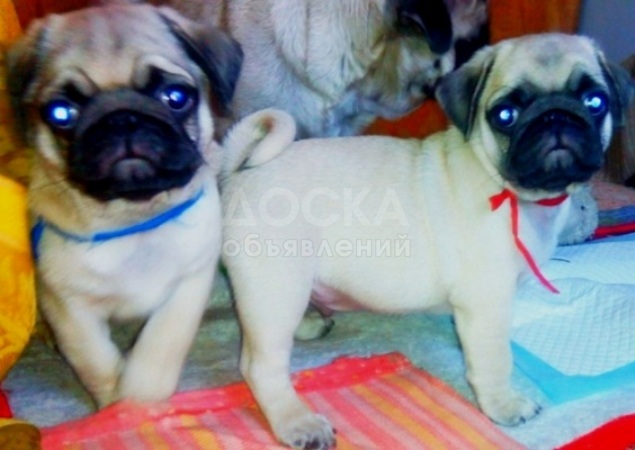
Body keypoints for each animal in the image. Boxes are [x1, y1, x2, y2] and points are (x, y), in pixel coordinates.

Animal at [6, 3, 242, 407]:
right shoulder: (69, 305)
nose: (121, 119)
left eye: (175, 96)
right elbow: (94, 360)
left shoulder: (189, 285)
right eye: (60, 113)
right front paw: (116, 405)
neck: (133, 220)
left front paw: (138, 398)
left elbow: (160, 349)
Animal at [219, 33, 633, 449]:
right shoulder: (488, 302)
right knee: (260, 365)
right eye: (505, 115)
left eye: (595, 102)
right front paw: (503, 405)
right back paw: (297, 422)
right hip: (277, 287)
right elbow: (495, 360)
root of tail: (240, 172)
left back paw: (308, 326)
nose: (555, 117)